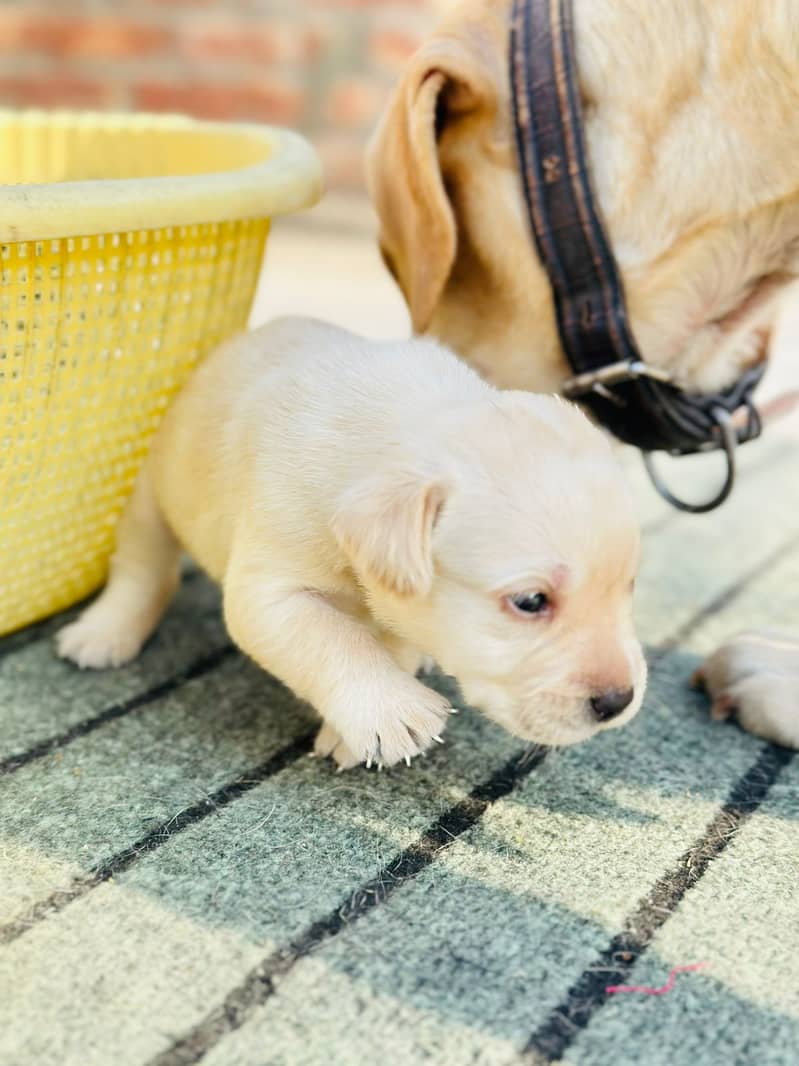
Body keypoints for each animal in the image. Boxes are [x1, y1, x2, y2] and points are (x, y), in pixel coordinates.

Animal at [56, 315, 647, 767]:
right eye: (529, 601)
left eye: (629, 587)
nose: (619, 701)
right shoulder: (269, 590)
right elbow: (333, 637)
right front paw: (388, 710)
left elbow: (389, 640)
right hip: (151, 496)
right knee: (143, 567)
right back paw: (103, 633)